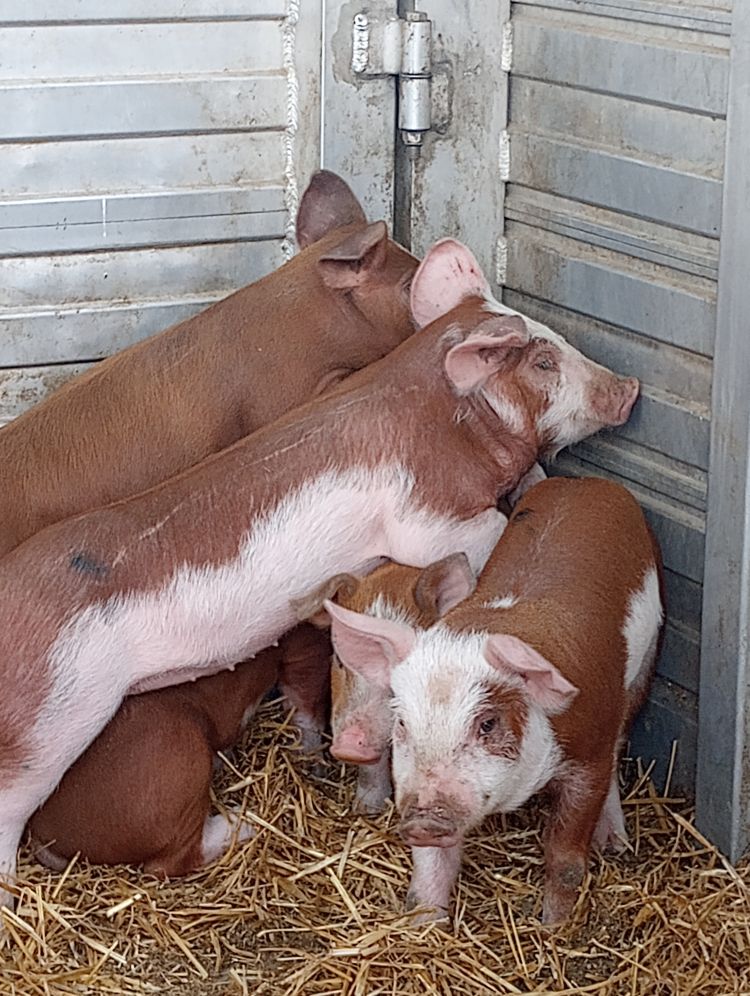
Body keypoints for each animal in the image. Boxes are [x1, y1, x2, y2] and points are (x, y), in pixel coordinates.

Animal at [326, 476, 668, 924]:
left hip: (644, 663)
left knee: (620, 742)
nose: (424, 819)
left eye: (487, 723)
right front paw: (424, 923)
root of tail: (585, 481)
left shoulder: (588, 752)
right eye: (402, 723)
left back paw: (613, 843)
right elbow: (431, 864)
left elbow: (565, 857)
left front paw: (553, 926)